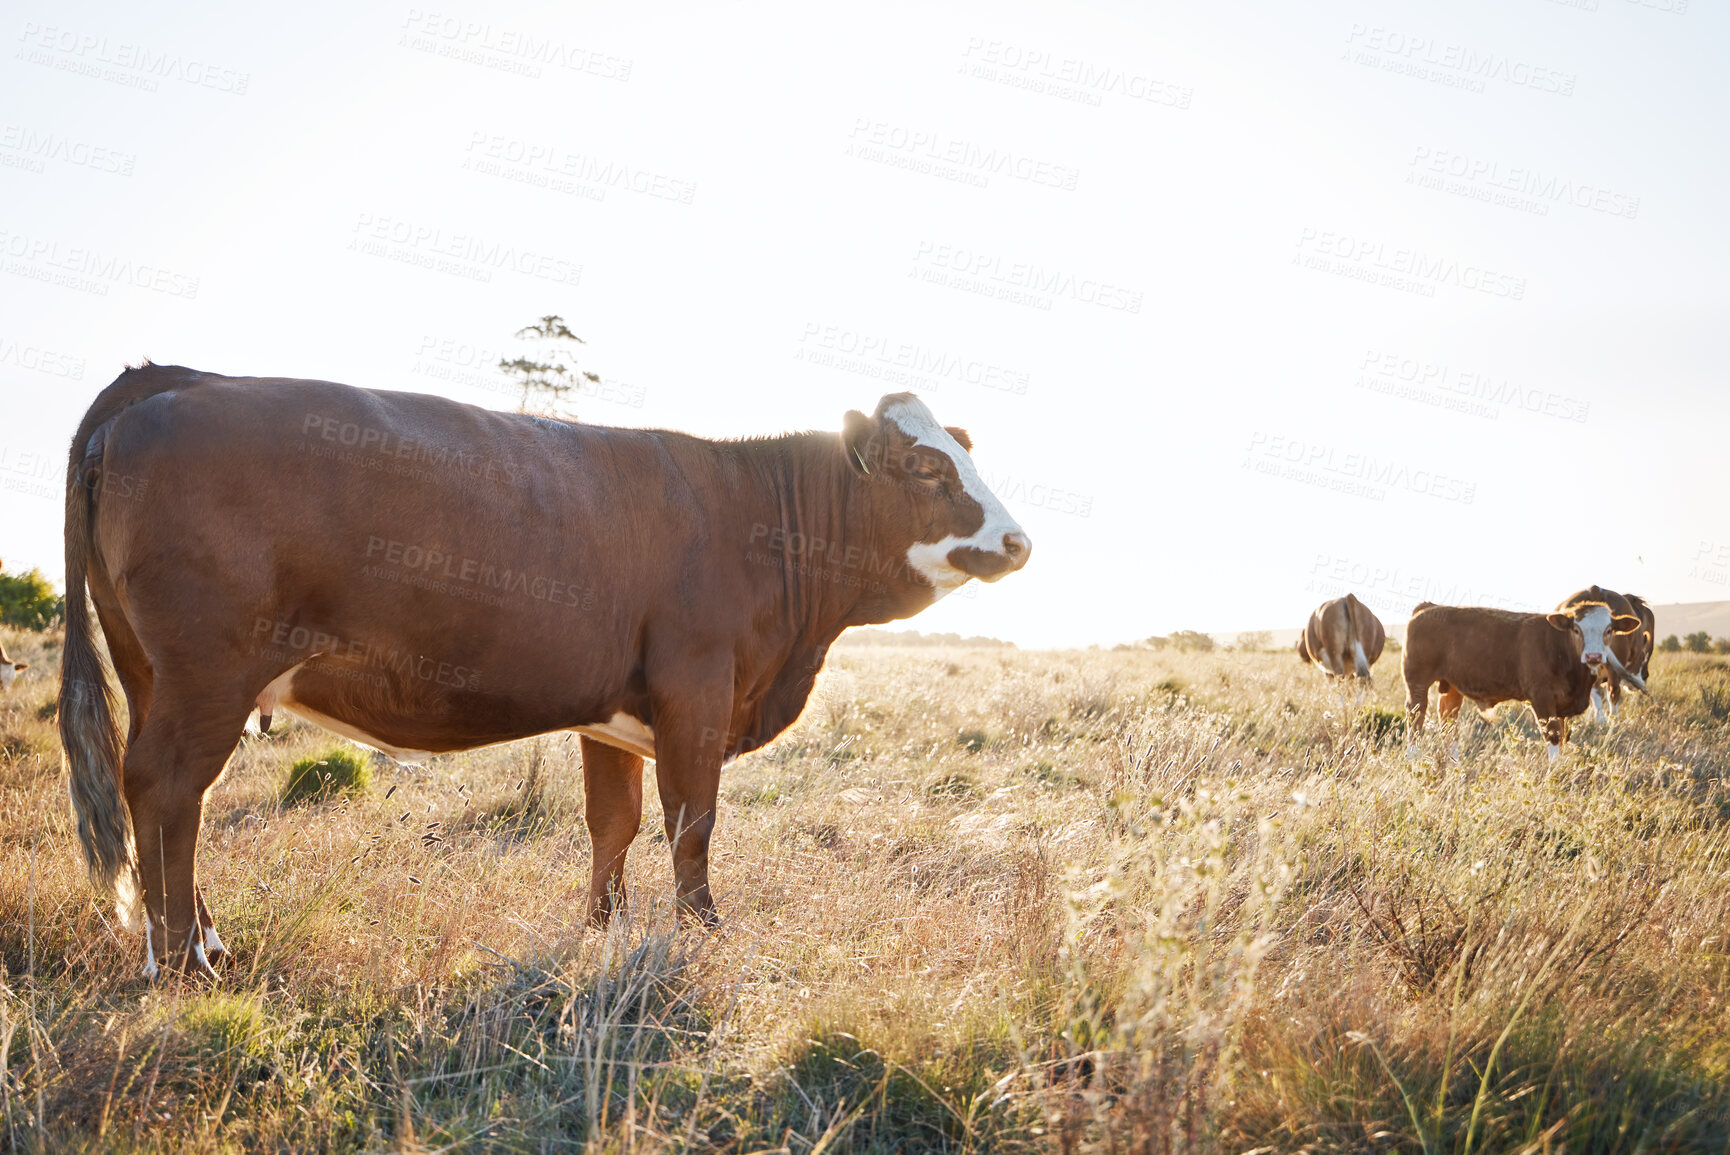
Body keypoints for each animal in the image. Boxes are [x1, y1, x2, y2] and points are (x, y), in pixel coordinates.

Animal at [60, 361, 1031, 975]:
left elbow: (615, 823)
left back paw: (206, 942)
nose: (1018, 540)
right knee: (166, 787)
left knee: (174, 799)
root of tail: (173, 376)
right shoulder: (696, 686)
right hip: (206, 673)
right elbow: (692, 822)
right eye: (926, 467)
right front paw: (702, 932)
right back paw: (181, 960)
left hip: (154, 673)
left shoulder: (618, 712)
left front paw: (604, 930)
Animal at [1397, 601, 1640, 760]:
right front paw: (1553, 773)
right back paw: (1413, 758)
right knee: (1416, 718)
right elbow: (1553, 736)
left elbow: (1562, 737)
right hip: (1417, 683)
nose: (1594, 656)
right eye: (1576, 629)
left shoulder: (1561, 706)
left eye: (1609, 630)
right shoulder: (1542, 698)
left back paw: (1456, 764)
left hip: (1452, 687)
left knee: (1448, 722)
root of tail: (1429, 607)